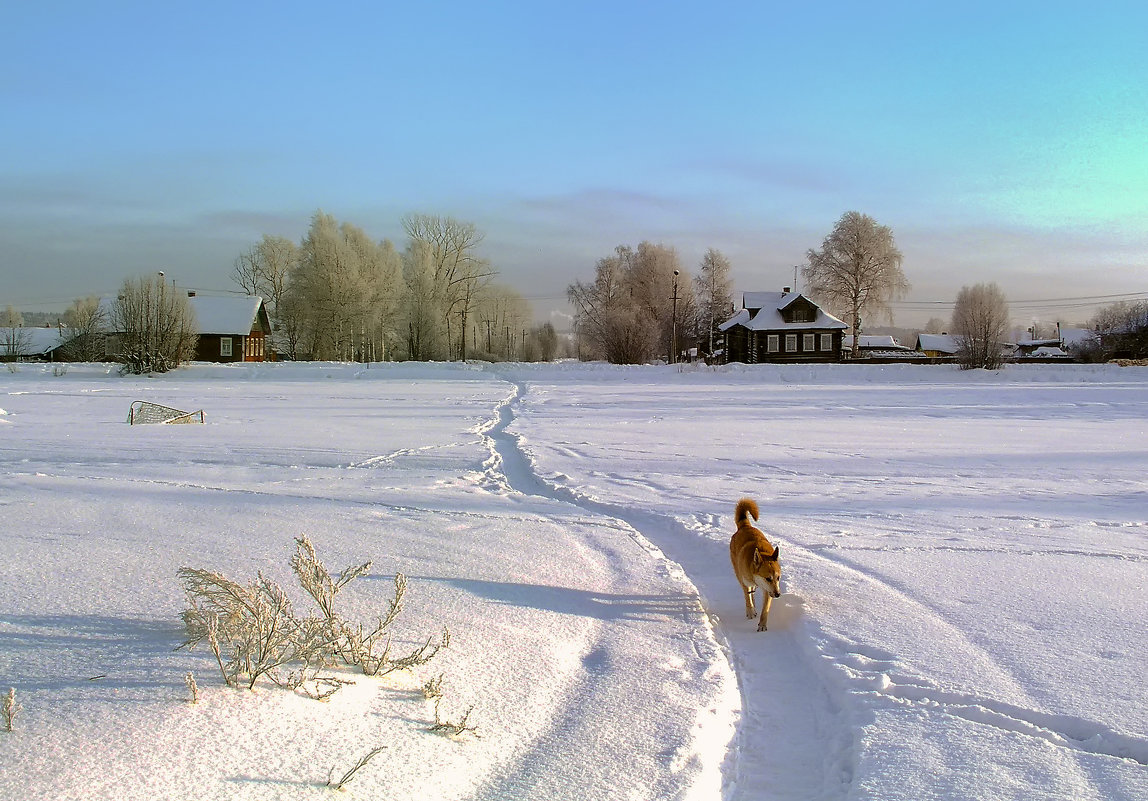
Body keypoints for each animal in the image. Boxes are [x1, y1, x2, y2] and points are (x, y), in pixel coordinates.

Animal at [730, 493, 785, 628]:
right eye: (768, 578)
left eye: (778, 578)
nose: (778, 594)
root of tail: (745, 526)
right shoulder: (745, 582)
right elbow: (747, 597)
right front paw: (750, 611)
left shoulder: (768, 591)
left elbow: (765, 608)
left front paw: (762, 624)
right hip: (738, 573)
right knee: (749, 593)